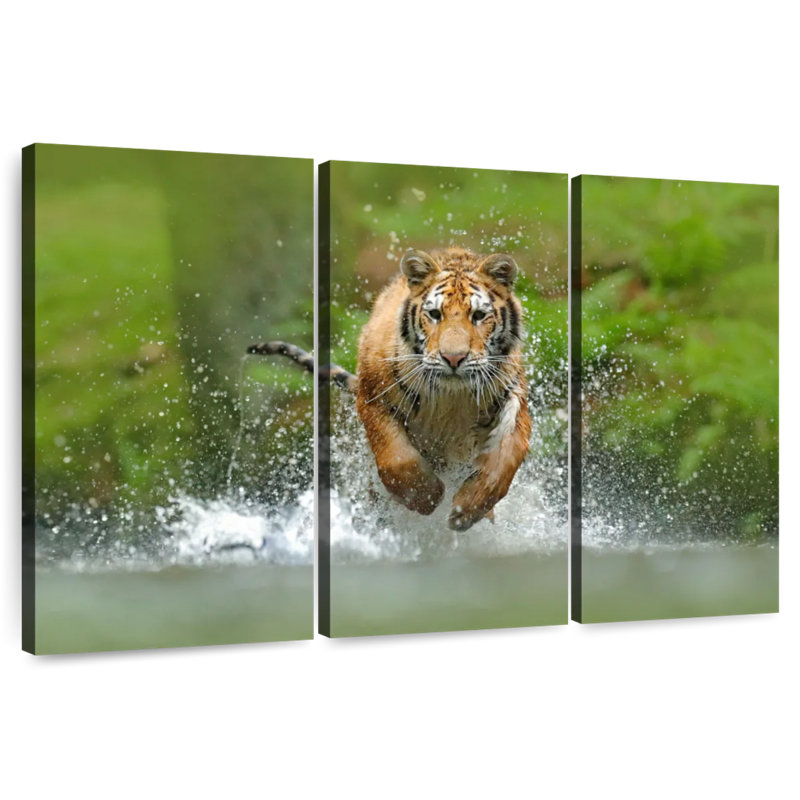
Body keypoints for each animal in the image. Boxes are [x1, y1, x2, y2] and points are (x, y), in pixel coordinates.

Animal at [248, 245, 530, 531]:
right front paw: (426, 497)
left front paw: (468, 509)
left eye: (478, 316)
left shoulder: (514, 398)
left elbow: (506, 458)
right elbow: (396, 457)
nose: (453, 358)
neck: (450, 397)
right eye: (435, 314)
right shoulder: (373, 397)